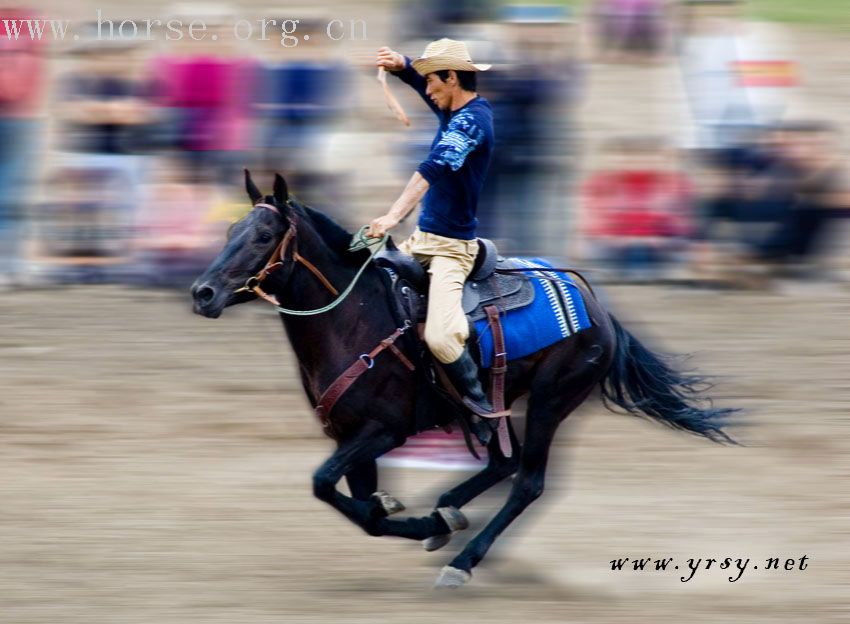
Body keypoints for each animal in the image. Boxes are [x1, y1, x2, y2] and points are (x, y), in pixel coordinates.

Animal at [189, 173, 732, 588]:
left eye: (263, 237)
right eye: (230, 229)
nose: (202, 292)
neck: (354, 316)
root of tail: (595, 307)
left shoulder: (383, 430)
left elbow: (325, 484)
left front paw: (422, 521)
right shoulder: (350, 438)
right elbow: (362, 508)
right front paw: (414, 516)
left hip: (550, 400)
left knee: (527, 482)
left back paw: (462, 559)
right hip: (493, 403)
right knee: (503, 463)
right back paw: (447, 513)